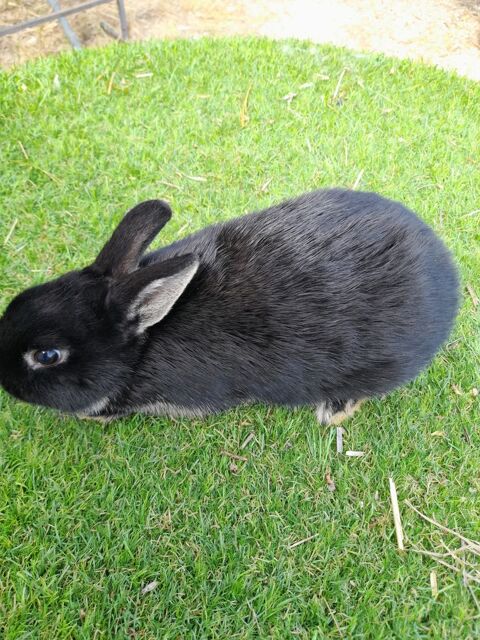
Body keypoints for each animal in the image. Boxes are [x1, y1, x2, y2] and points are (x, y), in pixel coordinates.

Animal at [0, 188, 459, 425]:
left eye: (47, 355)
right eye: (18, 300)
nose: (5, 382)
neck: (143, 344)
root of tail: (448, 276)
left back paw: (333, 411)